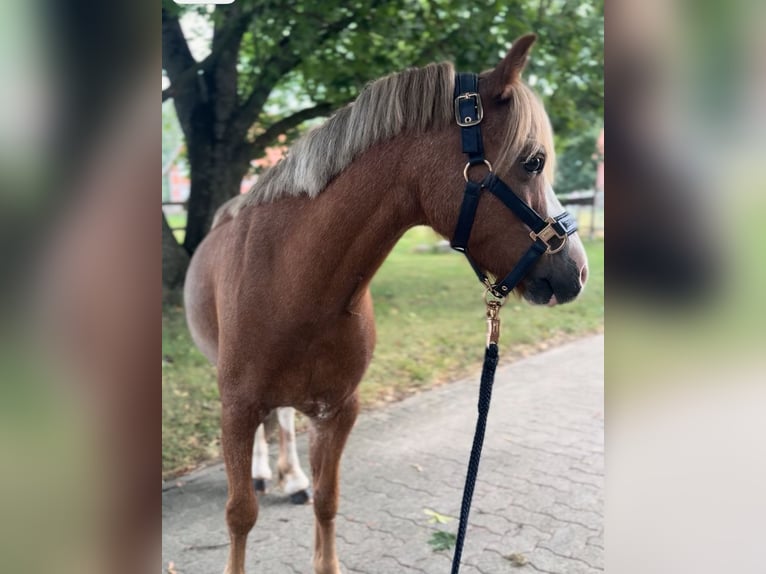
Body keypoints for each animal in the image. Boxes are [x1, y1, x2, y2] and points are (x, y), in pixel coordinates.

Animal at [184, 33, 588, 574]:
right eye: (534, 161)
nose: (578, 272)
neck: (295, 287)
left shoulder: (338, 410)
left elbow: (327, 500)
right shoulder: (236, 409)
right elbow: (240, 515)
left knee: (284, 423)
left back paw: (291, 477)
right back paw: (265, 472)